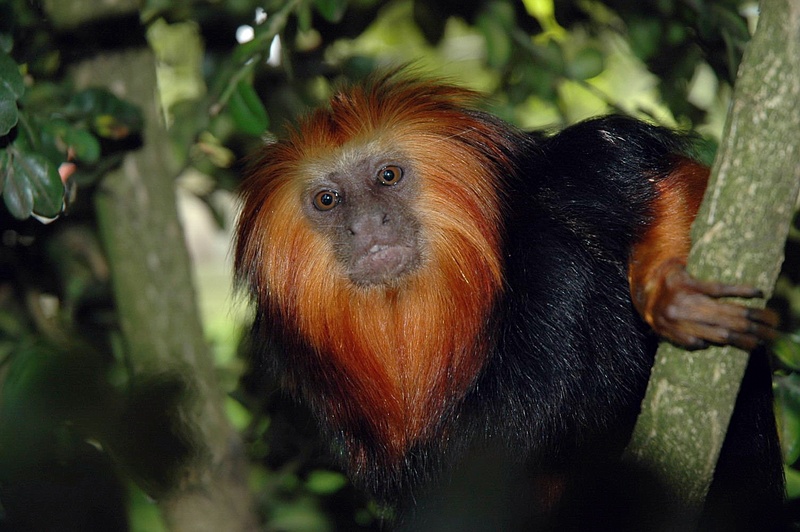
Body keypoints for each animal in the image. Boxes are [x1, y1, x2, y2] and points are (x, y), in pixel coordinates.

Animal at [234, 71, 784, 528]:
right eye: (328, 200)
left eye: (387, 176)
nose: (367, 224)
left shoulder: (564, 177)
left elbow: (669, 182)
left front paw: (671, 290)